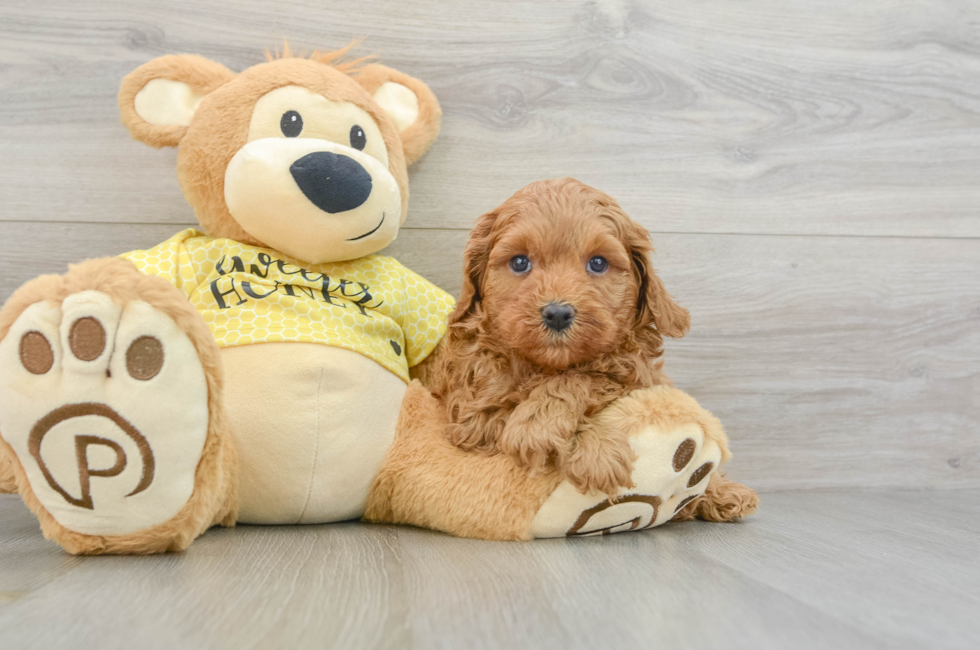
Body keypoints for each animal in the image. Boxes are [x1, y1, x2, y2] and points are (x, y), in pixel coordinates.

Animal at [424, 177, 692, 492]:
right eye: (519, 262)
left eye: (598, 263)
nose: (558, 314)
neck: (546, 366)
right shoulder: (472, 415)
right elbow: (502, 414)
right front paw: (595, 449)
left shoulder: (640, 376)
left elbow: (584, 377)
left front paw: (545, 427)